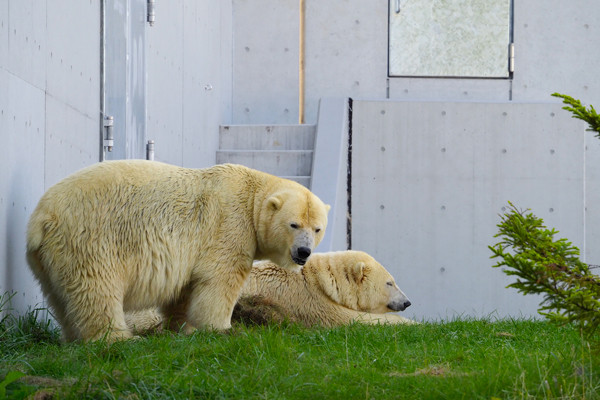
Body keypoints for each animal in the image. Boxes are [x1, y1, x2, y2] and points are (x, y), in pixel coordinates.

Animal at [24, 161, 328, 342]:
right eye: (294, 224)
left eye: (317, 228)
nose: (304, 252)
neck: (252, 194)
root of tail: (42, 217)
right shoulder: (230, 225)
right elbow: (220, 280)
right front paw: (222, 328)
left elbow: (184, 290)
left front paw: (182, 328)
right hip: (91, 237)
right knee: (96, 289)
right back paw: (121, 339)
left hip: (50, 256)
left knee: (61, 298)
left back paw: (73, 338)